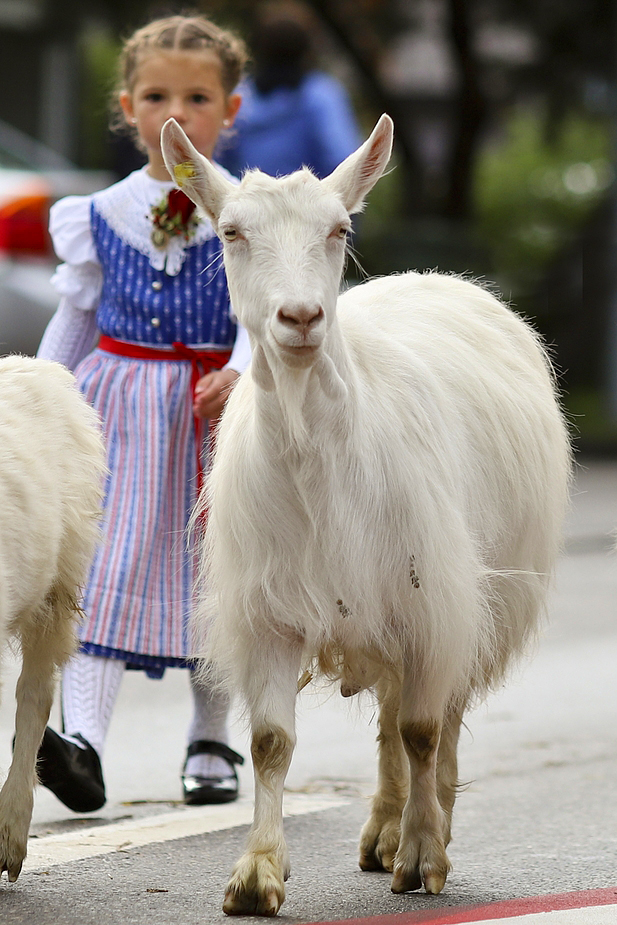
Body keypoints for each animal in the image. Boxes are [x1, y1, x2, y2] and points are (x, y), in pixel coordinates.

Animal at [161, 112, 572, 912]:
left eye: (339, 229)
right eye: (230, 232)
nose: (299, 317)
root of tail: (436, 279)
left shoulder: (432, 597)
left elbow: (423, 727)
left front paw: (424, 855)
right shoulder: (271, 606)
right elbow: (272, 741)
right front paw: (257, 873)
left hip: (463, 596)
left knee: (435, 717)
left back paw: (425, 823)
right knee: (388, 718)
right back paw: (382, 829)